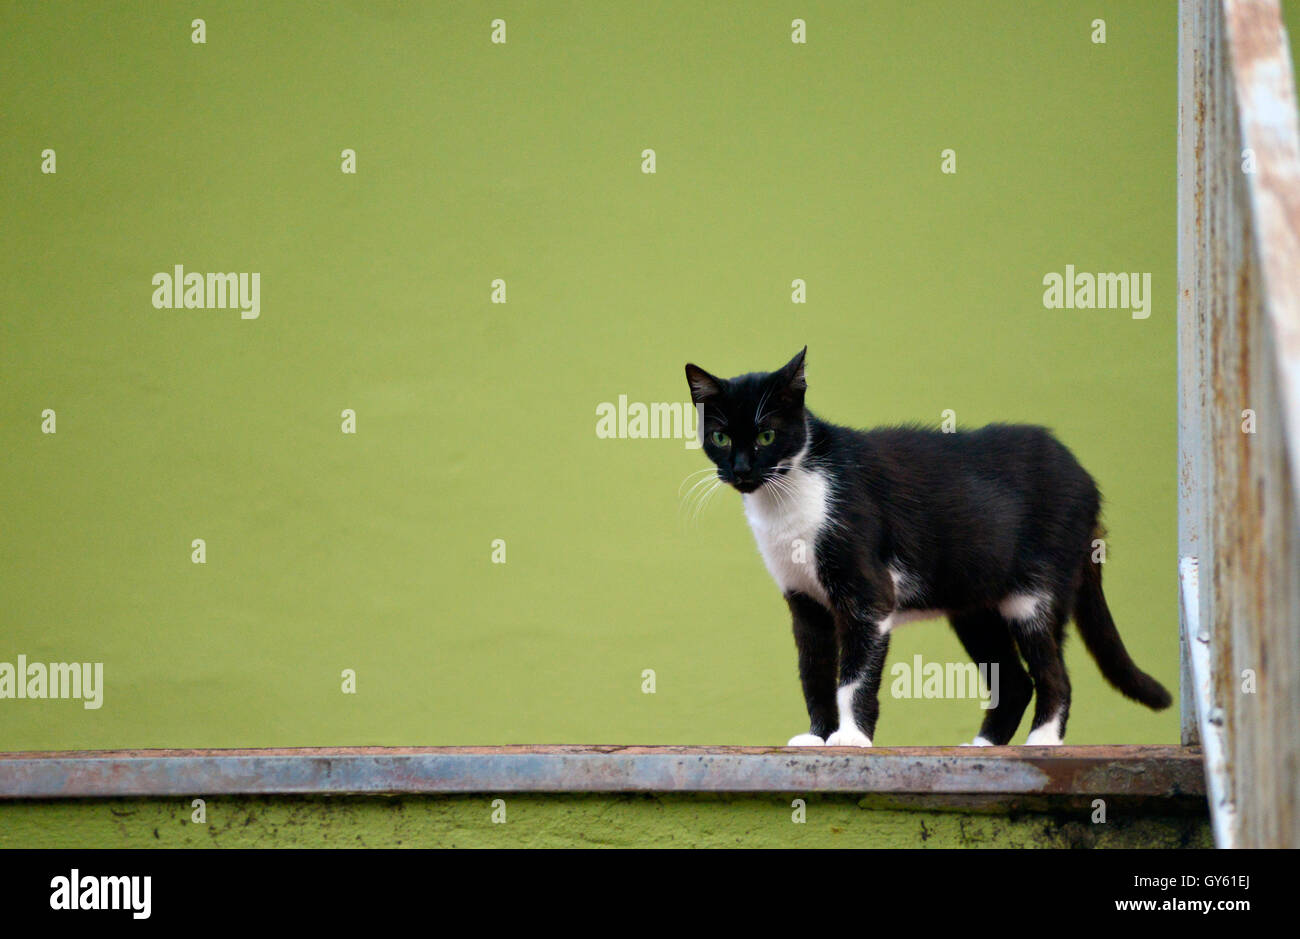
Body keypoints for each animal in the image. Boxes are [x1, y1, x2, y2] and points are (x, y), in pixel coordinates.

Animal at [686, 345, 1175, 743]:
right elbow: (814, 673)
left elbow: (853, 677)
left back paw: (1042, 742)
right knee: (1016, 682)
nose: (741, 469)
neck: (787, 499)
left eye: (767, 435)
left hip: (1035, 593)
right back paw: (982, 750)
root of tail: (1087, 480)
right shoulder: (803, 601)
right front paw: (819, 737)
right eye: (721, 437)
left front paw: (851, 738)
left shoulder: (869, 595)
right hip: (974, 606)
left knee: (1055, 676)